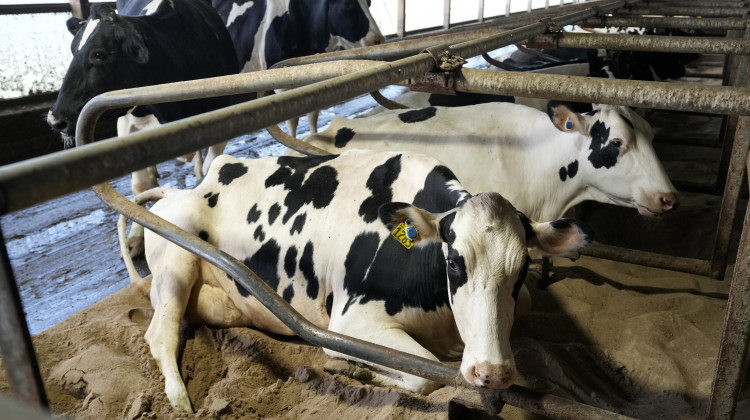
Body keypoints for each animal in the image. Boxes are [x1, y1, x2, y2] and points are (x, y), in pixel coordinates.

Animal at [122, 149, 592, 412]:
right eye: (455, 263)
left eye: (522, 268)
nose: (491, 372)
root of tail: (182, 190)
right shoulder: (351, 321)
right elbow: (424, 375)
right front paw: (350, 366)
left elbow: (524, 305)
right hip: (176, 263)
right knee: (160, 332)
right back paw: (180, 399)